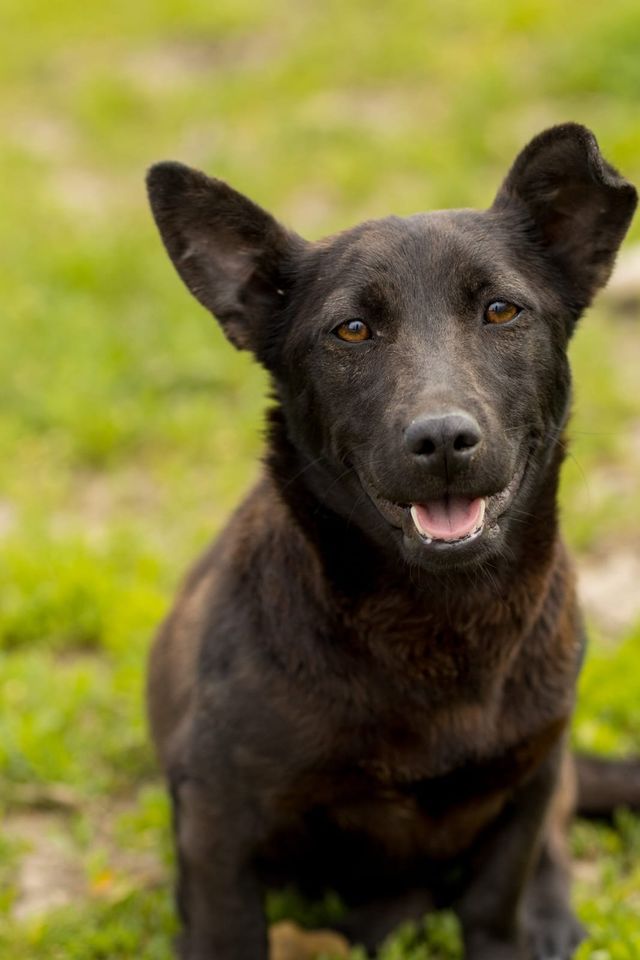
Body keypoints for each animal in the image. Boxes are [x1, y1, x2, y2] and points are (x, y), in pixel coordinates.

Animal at [145, 122, 640, 960]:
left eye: (501, 311)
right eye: (352, 330)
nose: (442, 439)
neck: (442, 621)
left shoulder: (529, 779)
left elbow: (498, 897)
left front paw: (516, 928)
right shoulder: (215, 810)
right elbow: (229, 929)